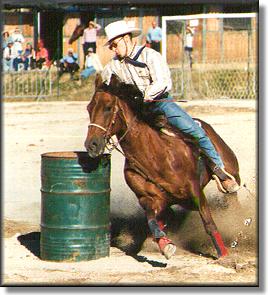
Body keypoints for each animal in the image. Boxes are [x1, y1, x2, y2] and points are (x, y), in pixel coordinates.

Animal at [84, 74, 241, 262]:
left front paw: (223, 254)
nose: (91, 145)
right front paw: (165, 245)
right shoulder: (149, 199)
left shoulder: (195, 192)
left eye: (108, 108)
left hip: (231, 171)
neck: (154, 157)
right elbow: (152, 221)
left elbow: (209, 223)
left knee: (232, 195)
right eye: (89, 108)